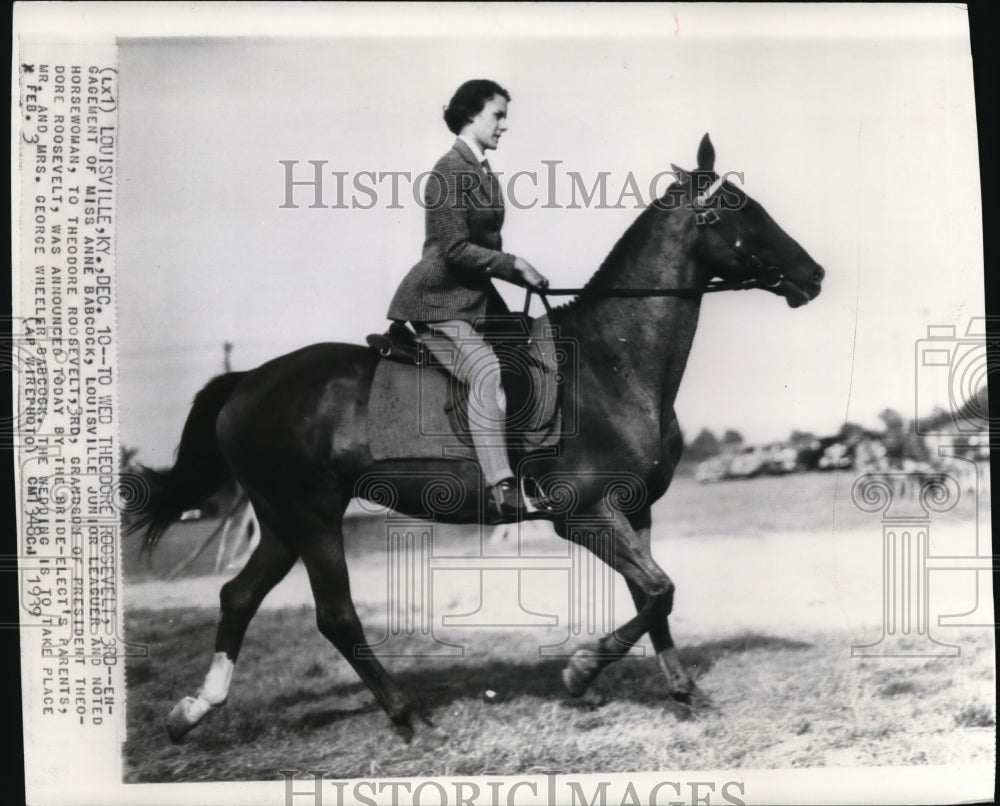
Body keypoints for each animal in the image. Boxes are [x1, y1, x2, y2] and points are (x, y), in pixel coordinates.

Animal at [133, 134, 824, 744]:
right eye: (739, 208)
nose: (813, 274)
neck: (613, 364)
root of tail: (249, 379)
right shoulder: (582, 514)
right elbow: (659, 591)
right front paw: (580, 672)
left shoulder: (636, 509)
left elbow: (653, 597)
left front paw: (683, 691)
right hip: (311, 515)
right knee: (334, 614)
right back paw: (408, 717)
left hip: (281, 520)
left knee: (238, 597)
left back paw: (193, 711)